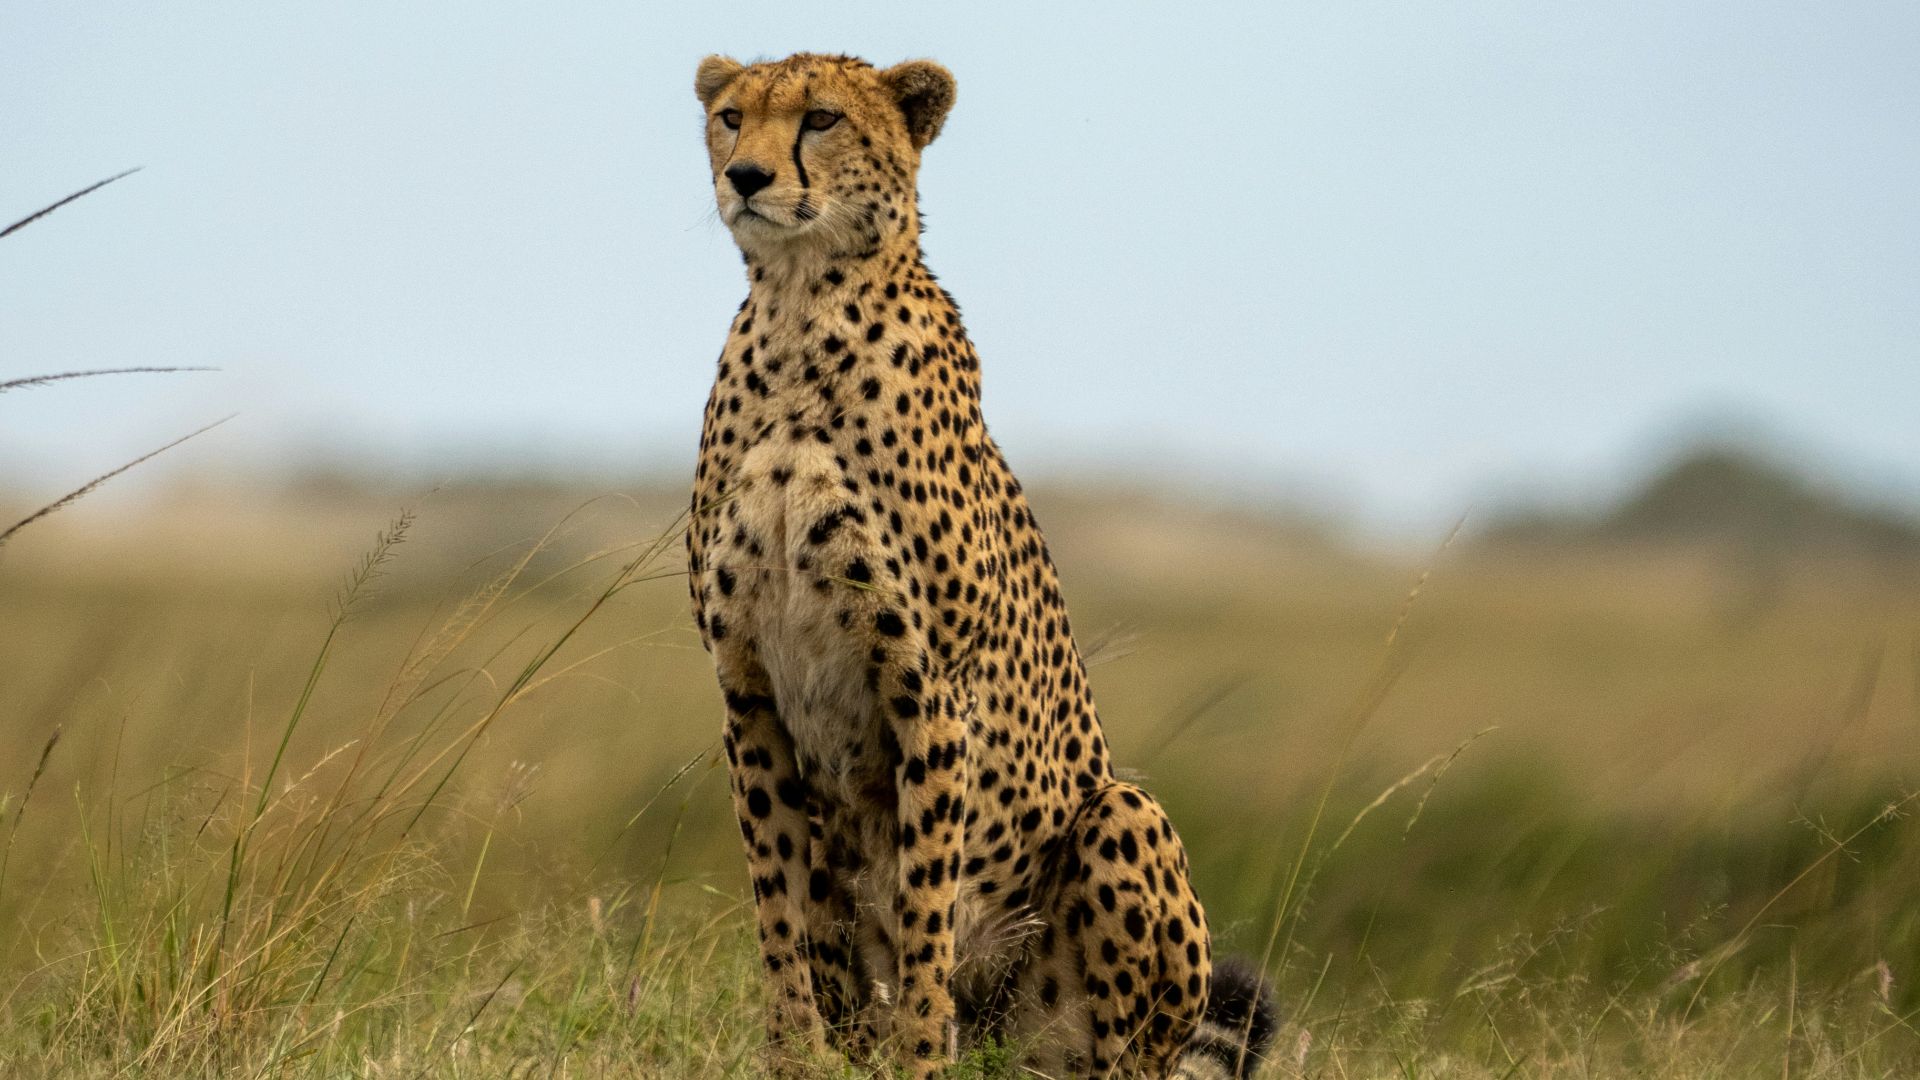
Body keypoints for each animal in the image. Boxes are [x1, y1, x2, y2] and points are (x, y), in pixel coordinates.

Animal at [684, 52, 1277, 1079]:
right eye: (729, 117)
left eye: (821, 118)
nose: (747, 177)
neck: (800, 310)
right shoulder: (746, 686)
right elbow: (777, 905)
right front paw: (793, 1055)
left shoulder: (928, 687)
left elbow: (925, 897)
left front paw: (923, 1054)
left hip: (1123, 819)